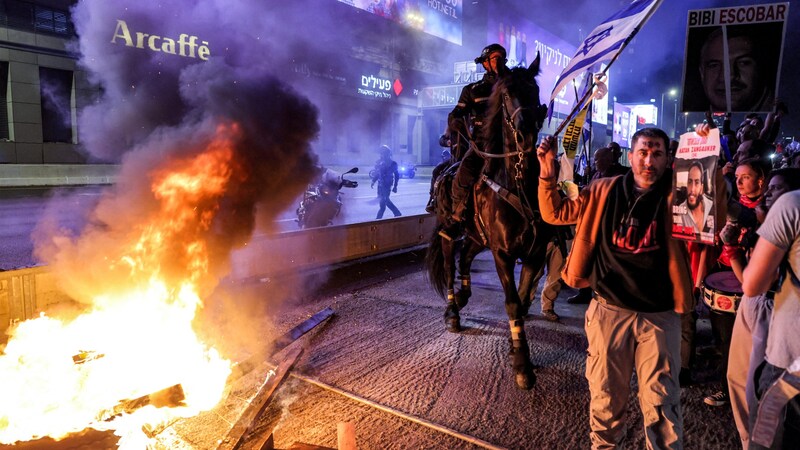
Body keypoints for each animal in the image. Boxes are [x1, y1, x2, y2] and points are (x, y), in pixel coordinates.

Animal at [424, 59, 556, 390]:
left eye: (534, 89)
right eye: (507, 94)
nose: (525, 131)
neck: (517, 180)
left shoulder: (534, 254)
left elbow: (522, 299)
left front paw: (515, 344)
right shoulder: (503, 254)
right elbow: (512, 302)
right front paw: (522, 363)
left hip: (478, 237)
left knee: (466, 258)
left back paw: (463, 294)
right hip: (450, 230)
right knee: (450, 265)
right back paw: (452, 310)